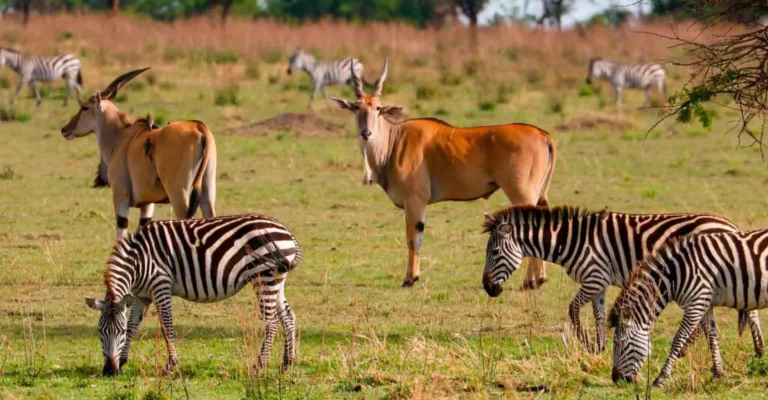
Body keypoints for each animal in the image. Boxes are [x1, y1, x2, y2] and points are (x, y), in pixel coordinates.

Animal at [60, 68, 217, 239]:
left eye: (85, 107)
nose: (65, 129)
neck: (121, 136)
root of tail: (199, 128)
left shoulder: (121, 196)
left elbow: (121, 233)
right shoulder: (147, 204)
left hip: (178, 195)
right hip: (207, 192)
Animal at [84, 214, 302, 376]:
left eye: (118, 331)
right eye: (99, 331)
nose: (109, 371)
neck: (138, 262)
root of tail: (287, 232)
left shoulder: (161, 286)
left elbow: (166, 326)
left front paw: (170, 366)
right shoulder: (141, 296)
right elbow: (133, 326)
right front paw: (122, 362)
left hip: (264, 277)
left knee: (271, 322)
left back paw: (260, 365)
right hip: (276, 279)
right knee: (288, 316)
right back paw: (286, 363)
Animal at [331, 60, 557, 288]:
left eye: (378, 108)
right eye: (357, 107)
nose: (366, 133)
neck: (394, 141)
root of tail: (543, 135)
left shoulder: (415, 200)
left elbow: (413, 237)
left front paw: (410, 279)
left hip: (520, 192)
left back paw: (530, 282)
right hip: (538, 195)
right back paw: (539, 279)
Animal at [482, 205, 763, 355]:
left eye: (494, 253)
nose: (487, 288)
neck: (571, 241)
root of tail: (730, 225)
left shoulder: (594, 278)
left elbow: (573, 309)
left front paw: (587, 344)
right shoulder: (598, 283)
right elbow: (597, 314)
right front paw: (599, 346)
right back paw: (756, 349)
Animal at [609, 229, 768, 386]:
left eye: (621, 343)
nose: (615, 379)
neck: (675, 275)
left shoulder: (696, 303)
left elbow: (678, 339)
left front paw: (661, 378)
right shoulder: (705, 304)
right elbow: (711, 338)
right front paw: (717, 375)